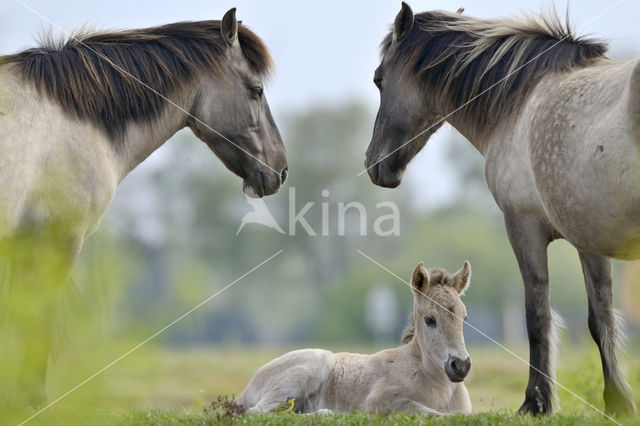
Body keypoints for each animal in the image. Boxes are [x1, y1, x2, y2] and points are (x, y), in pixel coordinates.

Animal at [0, 7, 286, 406]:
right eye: (256, 91)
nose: (281, 170)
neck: (73, 118)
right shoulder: (55, 242)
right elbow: (36, 319)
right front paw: (31, 399)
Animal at [238, 262, 472, 414]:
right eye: (430, 319)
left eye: (465, 318)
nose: (460, 365)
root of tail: (247, 388)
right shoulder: (380, 402)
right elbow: (434, 413)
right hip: (308, 369)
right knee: (258, 412)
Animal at [364, 1, 640, 418]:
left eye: (379, 79)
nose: (374, 164)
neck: (521, 103)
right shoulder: (587, 237)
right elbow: (601, 316)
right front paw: (618, 402)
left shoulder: (523, 227)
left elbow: (538, 316)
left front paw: (535, 402)